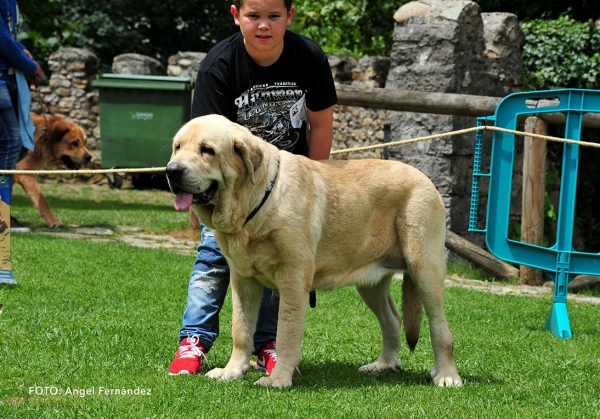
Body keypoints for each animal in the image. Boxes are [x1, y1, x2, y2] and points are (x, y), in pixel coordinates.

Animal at [166, 115, 462, 390]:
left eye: (207, 150)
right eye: (177, 147)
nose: (172, 170)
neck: (256, 201)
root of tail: (425, 178)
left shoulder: (293, 279)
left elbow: (286, 331)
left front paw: (278, 379)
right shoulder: (243, 280)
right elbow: (240, 329)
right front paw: (232, 371)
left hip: (424, 269)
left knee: (441, 329)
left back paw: (447, 375)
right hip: (371, 284)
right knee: (392, 319)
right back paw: (384, 364)